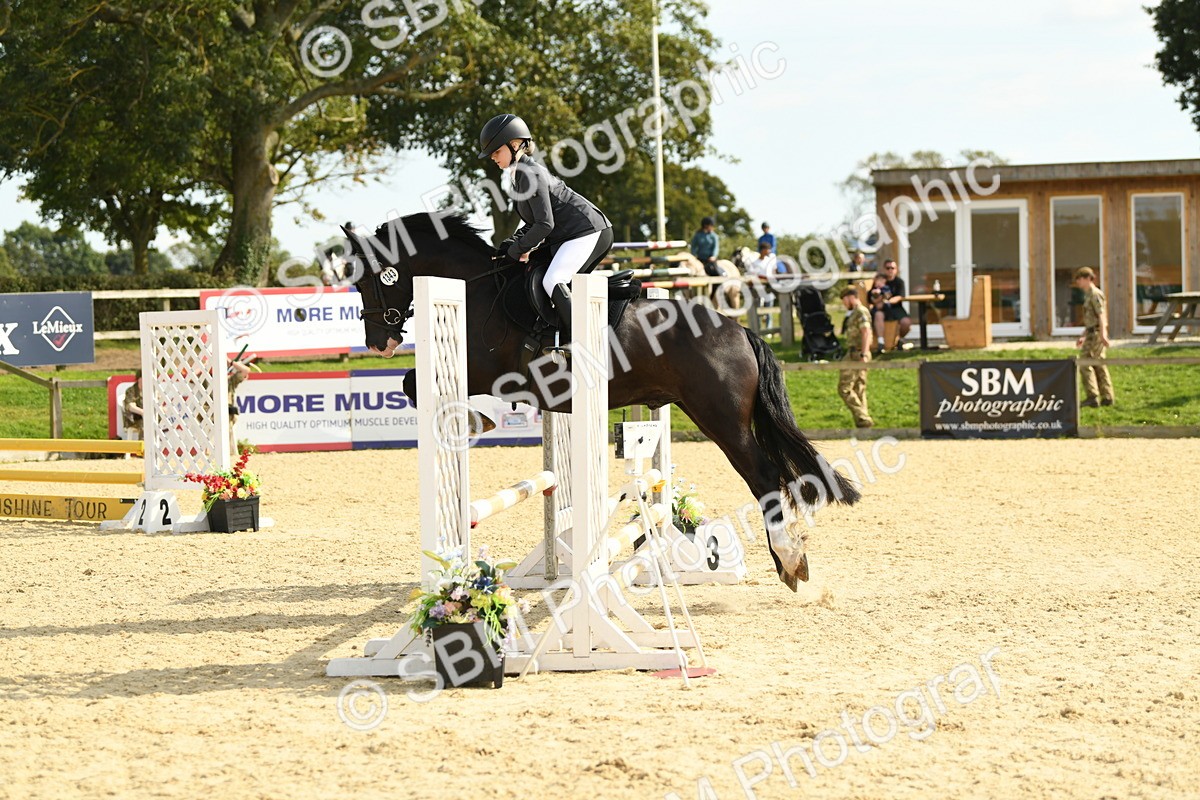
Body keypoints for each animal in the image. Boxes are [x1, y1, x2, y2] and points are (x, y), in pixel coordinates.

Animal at [347, 213, 860, 591]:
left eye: (368, 280)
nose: (377, 344)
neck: (477, 288)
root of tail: (739, 330)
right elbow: (416, 383)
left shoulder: (491, 370)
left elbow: (415, 383)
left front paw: (477, 421)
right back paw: (792, 560)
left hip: (722, 422)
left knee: (766, 477)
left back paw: (790, 561)